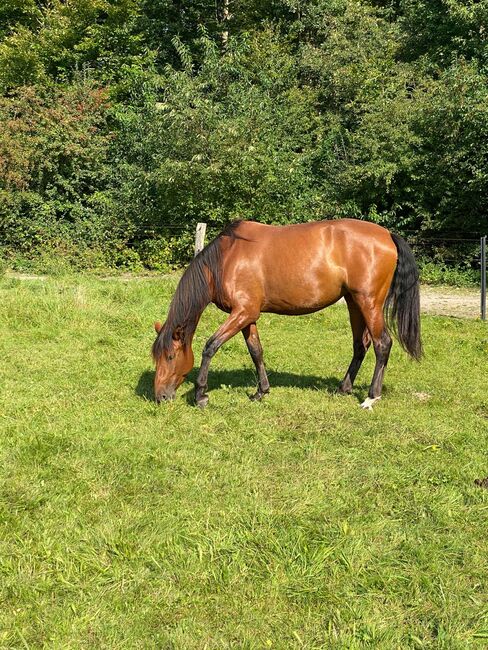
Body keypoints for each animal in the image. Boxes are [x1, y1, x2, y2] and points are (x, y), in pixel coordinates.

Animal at [151, 220, 422, 408]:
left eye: (170, 356)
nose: (160, 396)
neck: (226, 259)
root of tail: (387, 235)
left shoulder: (242, 313)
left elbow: (210, 346)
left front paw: (200, 395)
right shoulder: (248, 316)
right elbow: (256, 351)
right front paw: (261, 391)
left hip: (369, 303)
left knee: (382, 344)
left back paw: (371, 397)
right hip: (354, 303)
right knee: (361, 345)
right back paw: (343, 388)